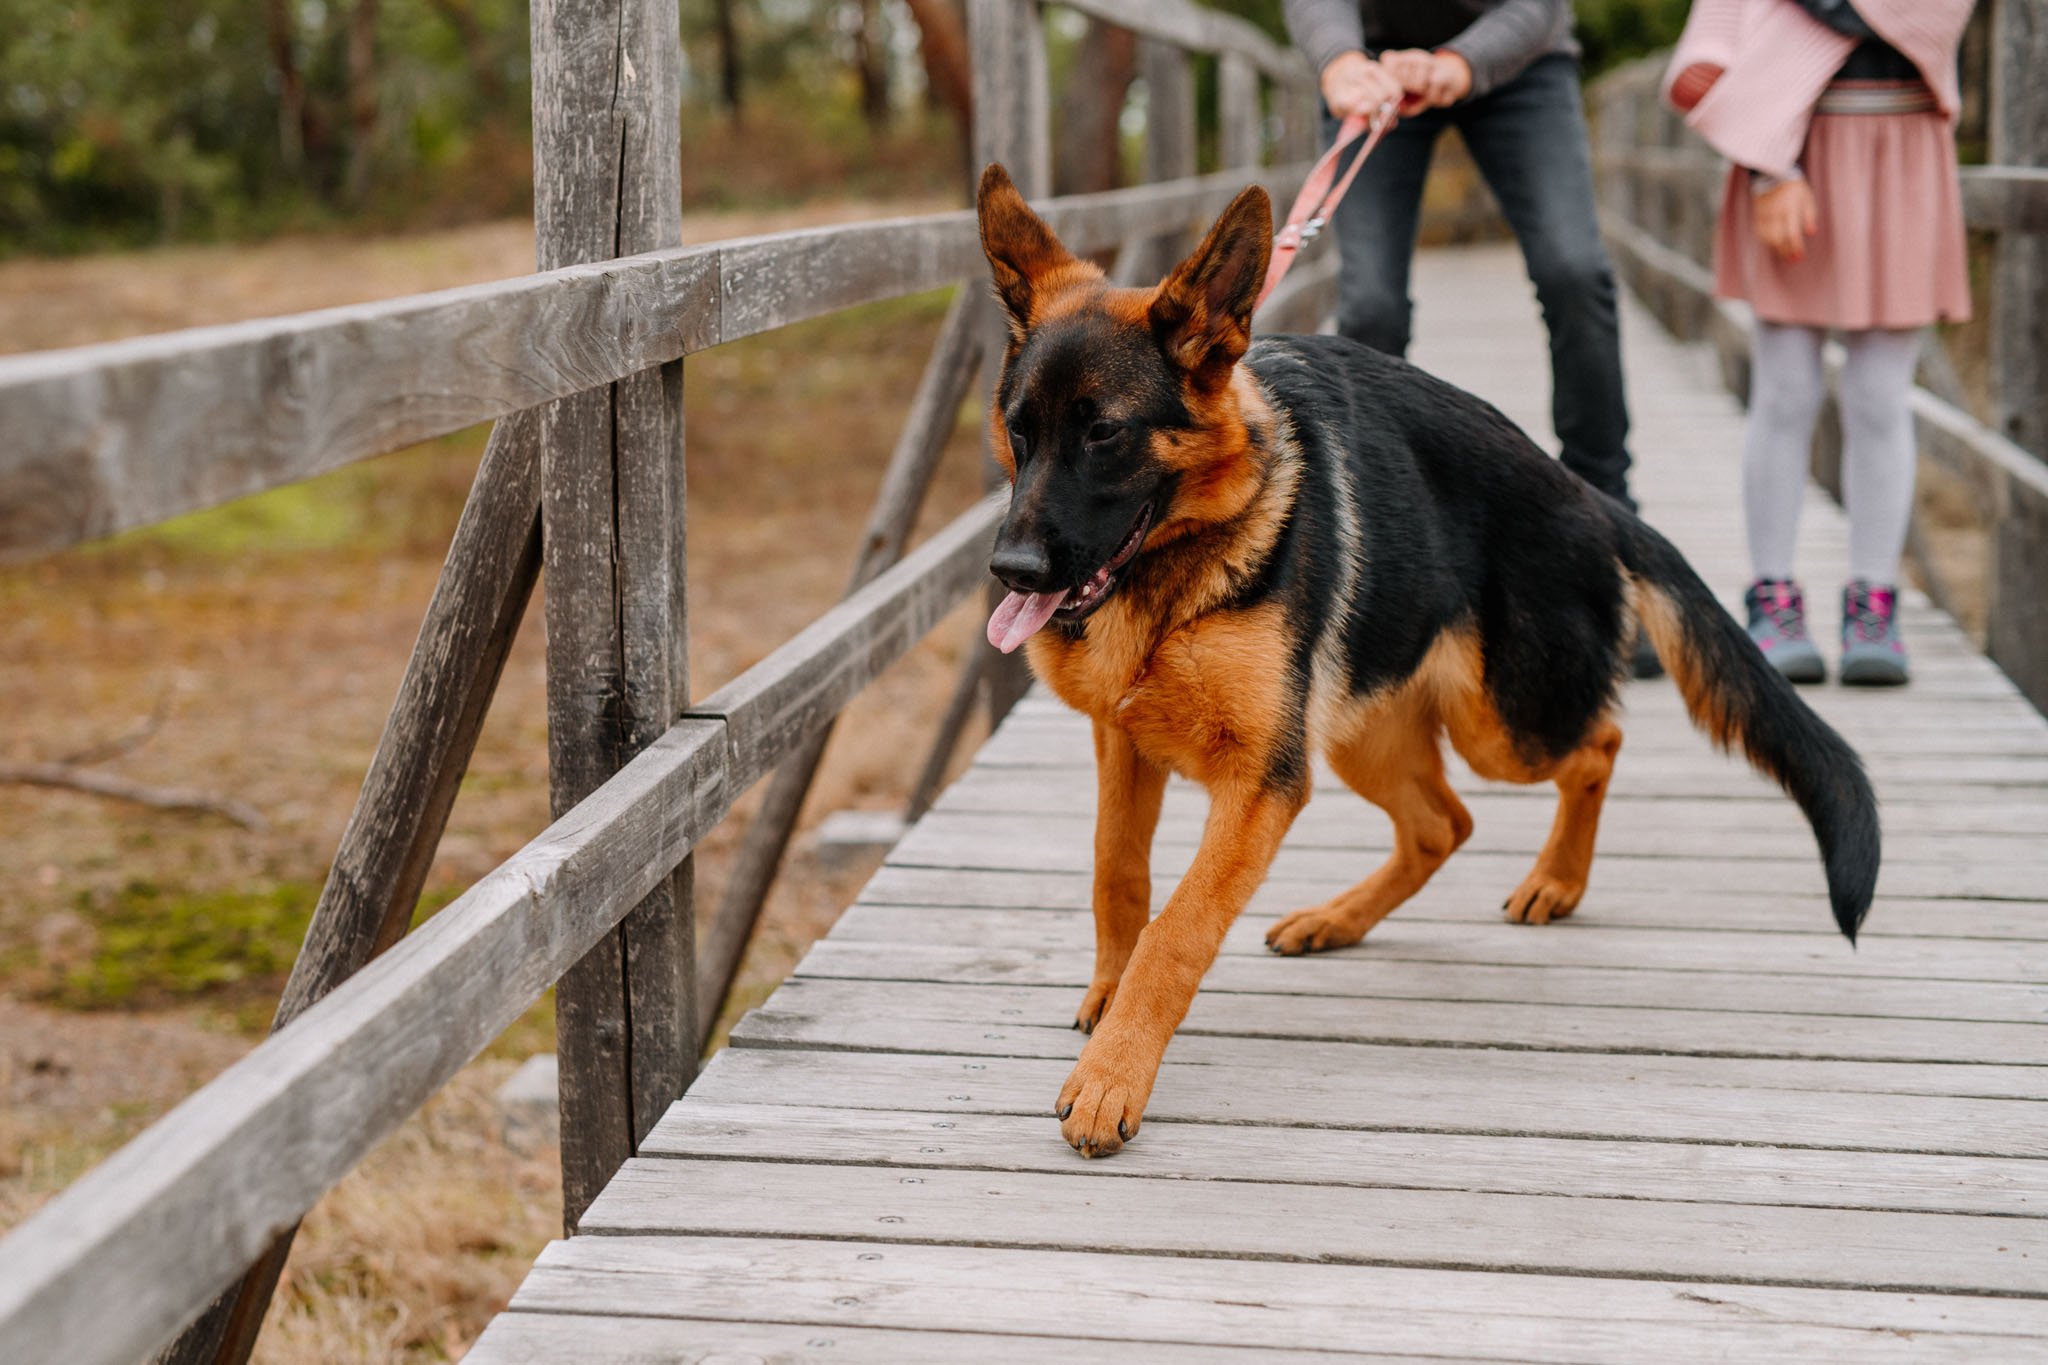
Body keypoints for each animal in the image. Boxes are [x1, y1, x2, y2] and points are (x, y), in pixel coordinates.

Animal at [966, 165, 1875, 1162]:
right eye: (1019, 429)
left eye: (1104, 434)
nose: (1011, 571)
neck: (1183, 565)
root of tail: (1588, 496)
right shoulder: (1125, 743)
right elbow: (1118, 877)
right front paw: (1108, 998)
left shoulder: (1261, 781)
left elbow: (1178, 929)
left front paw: (1112, 1077)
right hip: (1363, 736)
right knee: (1444, 823)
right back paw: (1338, 919)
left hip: (1500, 725)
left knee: (1595, 747)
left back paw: (1557, 880)